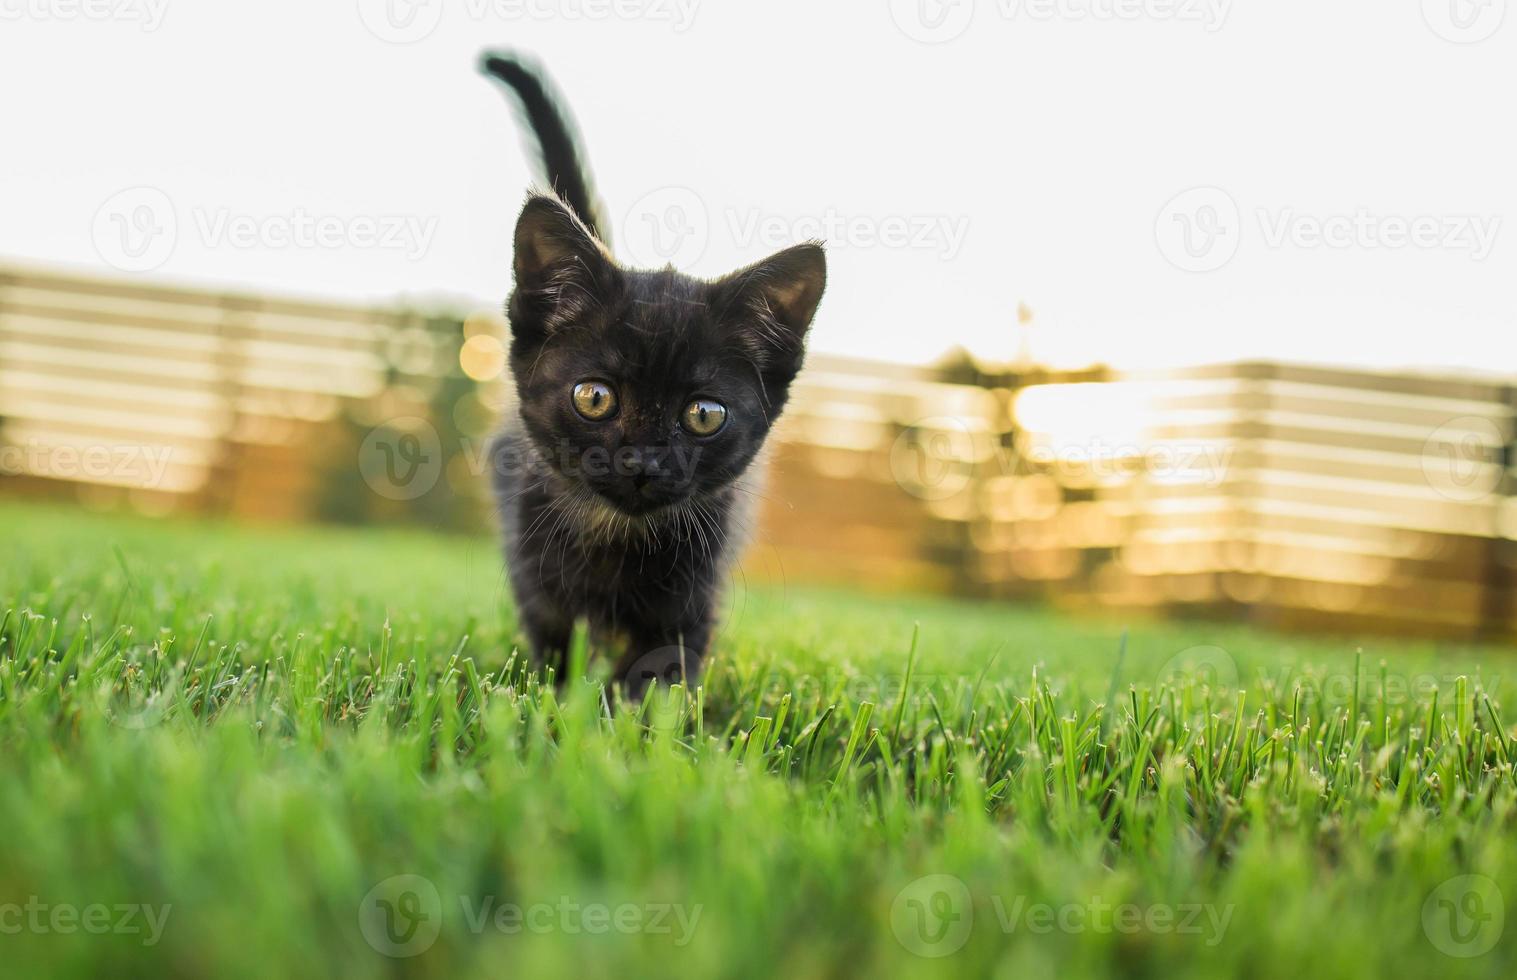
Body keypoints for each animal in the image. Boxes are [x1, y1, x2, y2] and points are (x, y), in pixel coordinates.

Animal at [479, 55, 825, 697]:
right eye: (594, 397)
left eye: (705, 414)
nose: (643, 462)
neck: (618, 536)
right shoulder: (536, 575)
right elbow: (555, 649)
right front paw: (557, 705)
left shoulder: (695, 594)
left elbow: (661, 673)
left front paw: (634, 717)